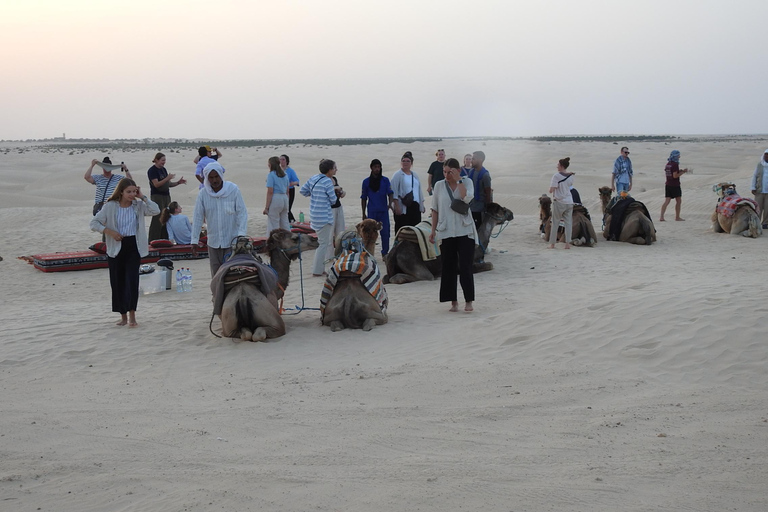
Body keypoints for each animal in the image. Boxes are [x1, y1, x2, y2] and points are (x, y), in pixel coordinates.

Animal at [384, 202, 516, 286]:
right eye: (502, 210)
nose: (511, 213)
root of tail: (394, 252)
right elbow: (490, 265)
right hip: (413, 262)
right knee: (422, 276)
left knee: (386, 278)